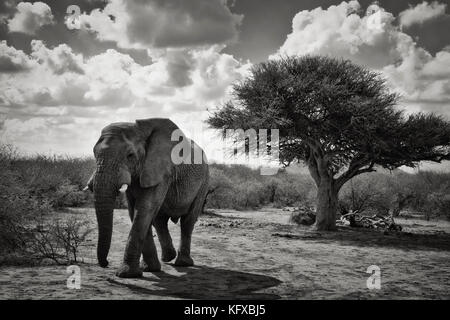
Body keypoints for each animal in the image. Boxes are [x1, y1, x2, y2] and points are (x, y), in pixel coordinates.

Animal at [84, 117, 209, 278]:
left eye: (130, 155)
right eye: (94, 153)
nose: (106, 263)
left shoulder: (162, 171)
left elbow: (144, 208)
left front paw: (127, 274)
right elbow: (135, 210)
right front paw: (147, 269)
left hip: (204, 181)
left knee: (188, 220)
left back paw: (183, 263)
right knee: (159, 220)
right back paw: (167, 258)